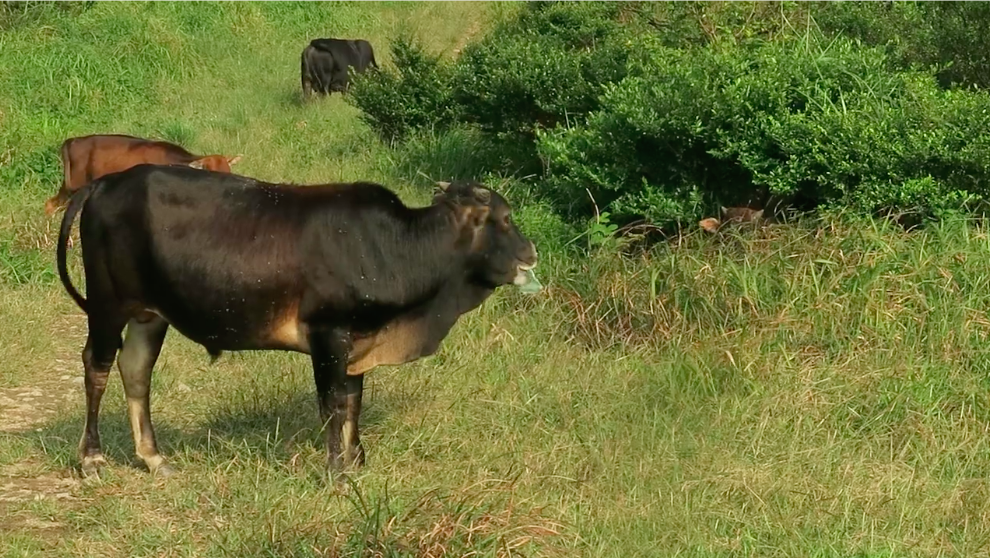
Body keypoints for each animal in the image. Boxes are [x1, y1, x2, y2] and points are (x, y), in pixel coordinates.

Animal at [56, 163, 544, 482]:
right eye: (505, 219)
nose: (532, 252)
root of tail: (104, 183)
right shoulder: (328, 334)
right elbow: (332, 405)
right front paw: (337, 473)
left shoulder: (357, 340)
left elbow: (353, 401)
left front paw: (356, 461)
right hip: (108, 306)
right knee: (97, 367)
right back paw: (92, 458)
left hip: (149, 314)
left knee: (136, 370)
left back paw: (154, 457)